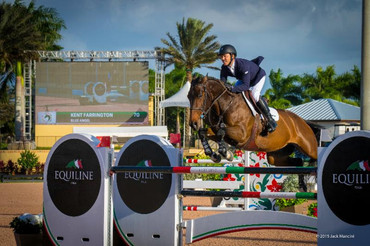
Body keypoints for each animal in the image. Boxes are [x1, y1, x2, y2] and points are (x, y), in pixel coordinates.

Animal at [188, 76, 318, 170]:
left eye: (200, 95)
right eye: (188, 96)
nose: (193, 124)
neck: (226, 105)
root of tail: (303, 122)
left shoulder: (242, 134)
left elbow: (221, 131)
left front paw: (226, 153)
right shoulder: (217, 130)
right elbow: (204, 133)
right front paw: (213, 154)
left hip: (309, 148)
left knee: (315, 156)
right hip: (276, 155)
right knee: (298, 162)